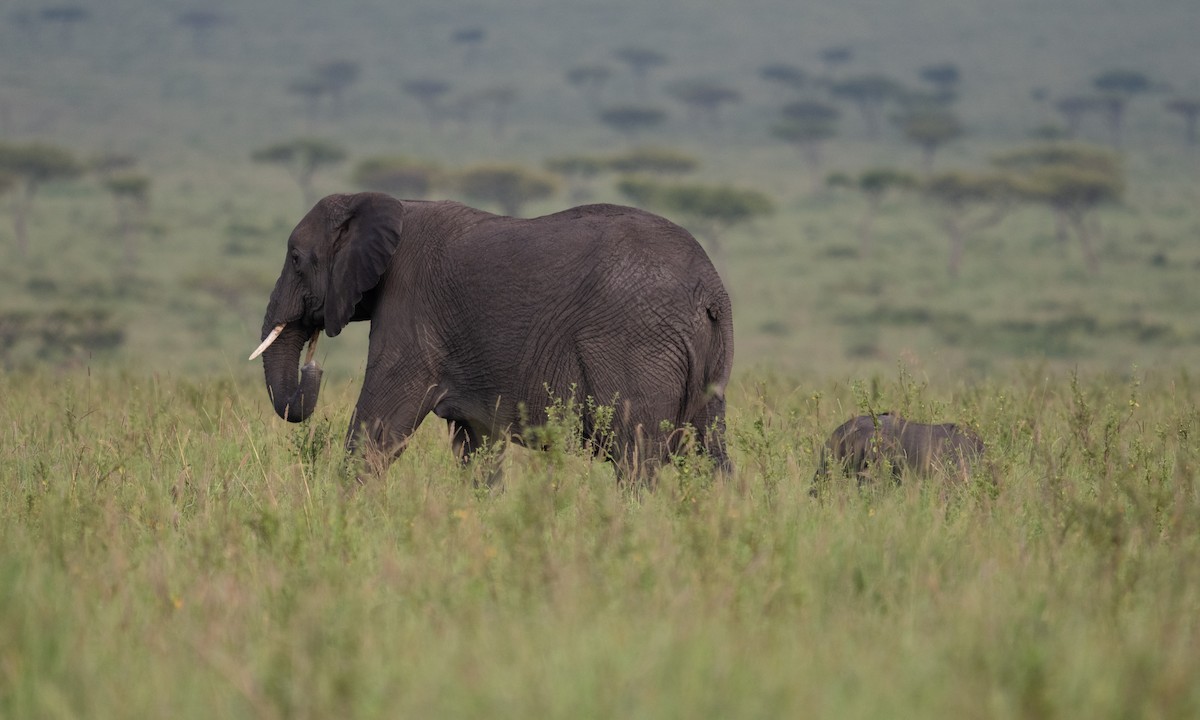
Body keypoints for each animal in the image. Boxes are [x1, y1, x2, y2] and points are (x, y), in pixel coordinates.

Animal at [250, 192, 734, 480]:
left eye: (296, 258)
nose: (314, 365)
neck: (387, 203)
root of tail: (709, 289)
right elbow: (476, 447)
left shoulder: (410, 310)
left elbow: (378, 429)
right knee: (709, 451)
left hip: (635, 344)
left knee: (636, 452)